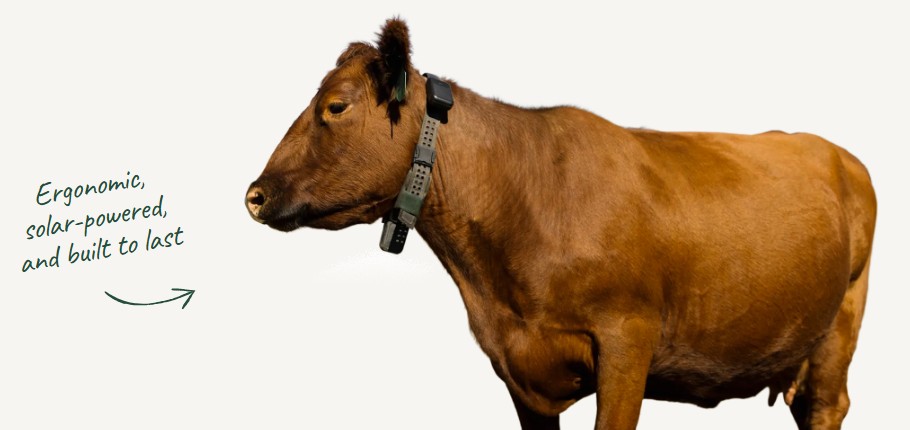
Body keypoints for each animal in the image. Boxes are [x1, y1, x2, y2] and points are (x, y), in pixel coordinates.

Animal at [245, 18, 876, 430]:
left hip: (842, 320)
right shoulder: (519, 367)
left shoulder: (628, 339)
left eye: (336, 106)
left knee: (825, 405)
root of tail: (836, 151)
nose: (254, 196)